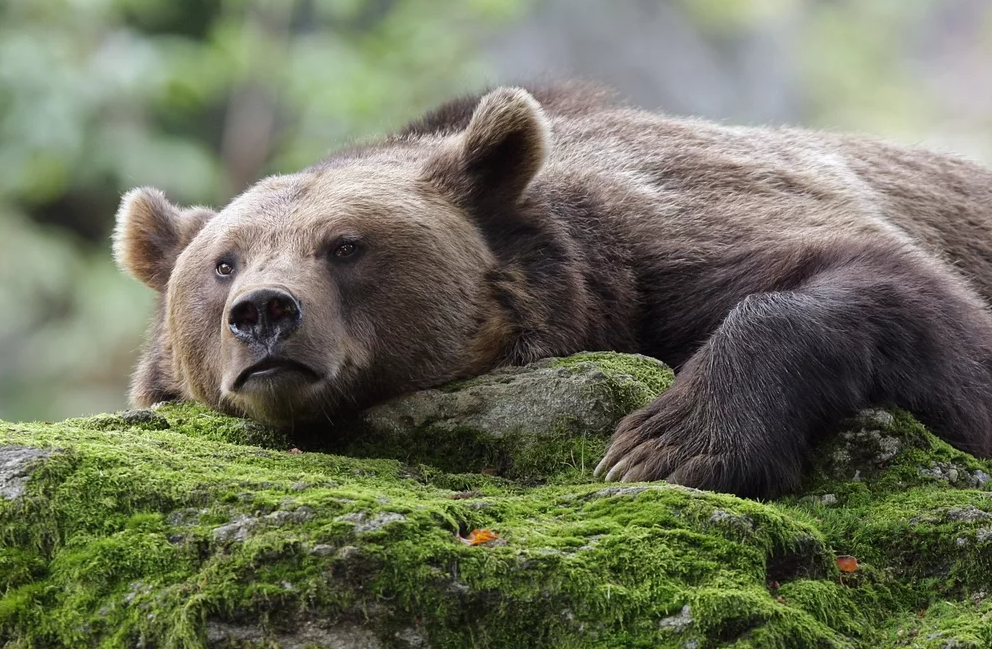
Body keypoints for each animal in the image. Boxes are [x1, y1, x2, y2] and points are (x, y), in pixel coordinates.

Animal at [113, 83, 992, 498]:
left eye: (345, 245)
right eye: (225, 262)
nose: (265, 313)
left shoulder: (665, 236)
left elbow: (906, 296)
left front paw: (666, 443)